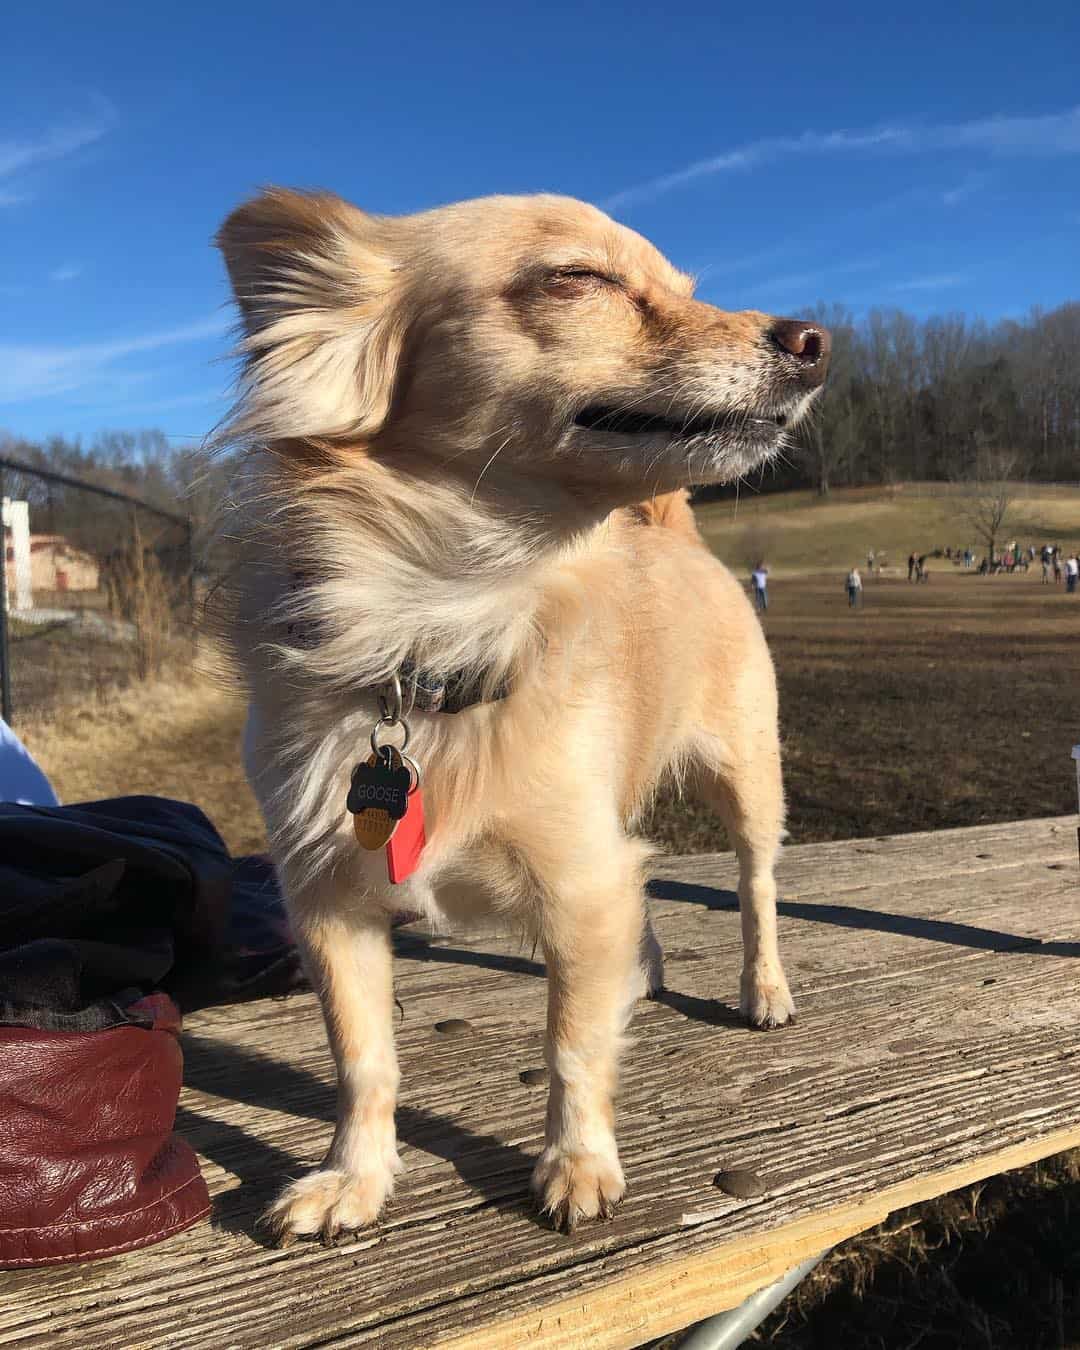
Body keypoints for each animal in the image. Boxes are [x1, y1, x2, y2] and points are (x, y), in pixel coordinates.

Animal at [214, 184, 831, 1236]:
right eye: (577, 278)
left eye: (685, 289)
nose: (814, 339)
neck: (439, 629)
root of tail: (678, 536)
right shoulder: (330, 899)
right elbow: (363, 1058)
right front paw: (354, 1176)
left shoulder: (580, 882)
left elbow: (571, 1045)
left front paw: (577, 1162)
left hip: (749, 778)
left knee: (755, 887)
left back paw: (764, 988)